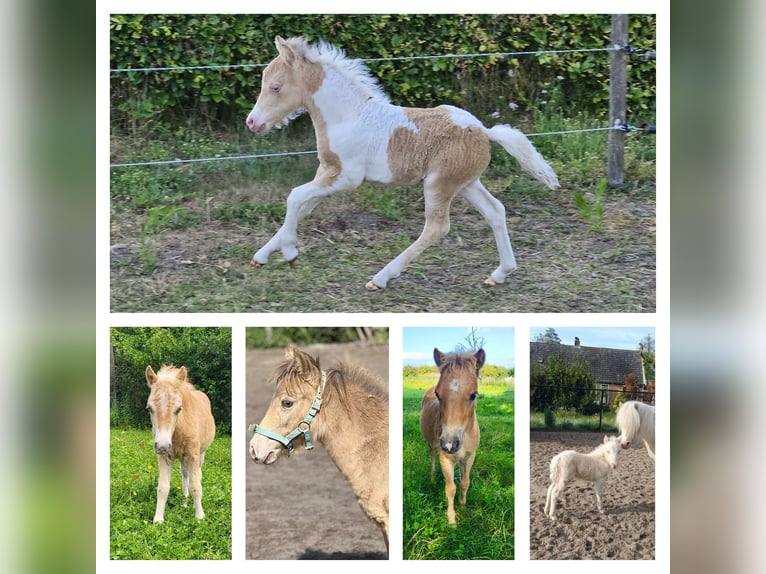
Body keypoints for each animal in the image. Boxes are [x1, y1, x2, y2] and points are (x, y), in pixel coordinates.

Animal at [145, 364, 216, 524]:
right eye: (149, 408)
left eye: (178, 409)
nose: (162, 446)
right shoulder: (164, 457)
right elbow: (163, 487)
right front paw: (158, 520)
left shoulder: (193, 455)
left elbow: (195, 486)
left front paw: (200, 517)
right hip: (182, 457)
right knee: (184, 473)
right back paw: (184, 501)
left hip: (201, 453)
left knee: (197, 474)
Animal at [245, 36, 560, 290]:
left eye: (275, 87)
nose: (252, 122)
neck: (348, 116)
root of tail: (483, 130)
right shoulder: (328, 170)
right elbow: (303, 206)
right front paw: (262, 256)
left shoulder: (347, 177)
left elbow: (295, 196)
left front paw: (290, 253)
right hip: (467, 183)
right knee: (495, 211)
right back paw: (500, 273)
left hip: (439, 184)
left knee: (437, 227)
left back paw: (381, 278)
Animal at [419, 348, 484, 525]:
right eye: (438, 394)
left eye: (473, 395)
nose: (449, 444)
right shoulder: (445, 458)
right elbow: (450, 488)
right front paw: (452, 520)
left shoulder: (469, 456)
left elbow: (464, 482)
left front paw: (462, 506)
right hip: (432, 445)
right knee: (432, 458)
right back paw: (432, 478)